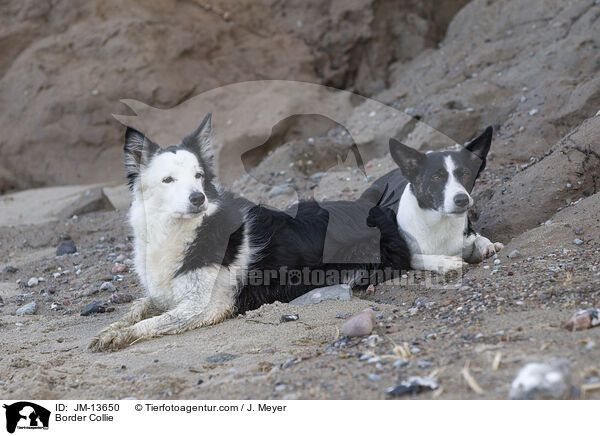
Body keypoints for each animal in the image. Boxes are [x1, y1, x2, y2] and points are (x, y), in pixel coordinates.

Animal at [89, 113, 408, 350]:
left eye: (198, 176)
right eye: (168, 180)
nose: (198, 198)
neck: (178, 231)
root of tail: (374, 207)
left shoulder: (205, 306)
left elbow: (151, 322)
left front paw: (120, 335)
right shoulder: (163, 293)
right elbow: (137, 307)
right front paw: (111, 328)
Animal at [358, 127, 504, 272]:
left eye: (465, 174)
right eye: (436, 177)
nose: (462, 200)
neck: (441, 223)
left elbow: (478, 238)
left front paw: (488, 245)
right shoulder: (404, 255)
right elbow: (419, 258)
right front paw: (446, 262)